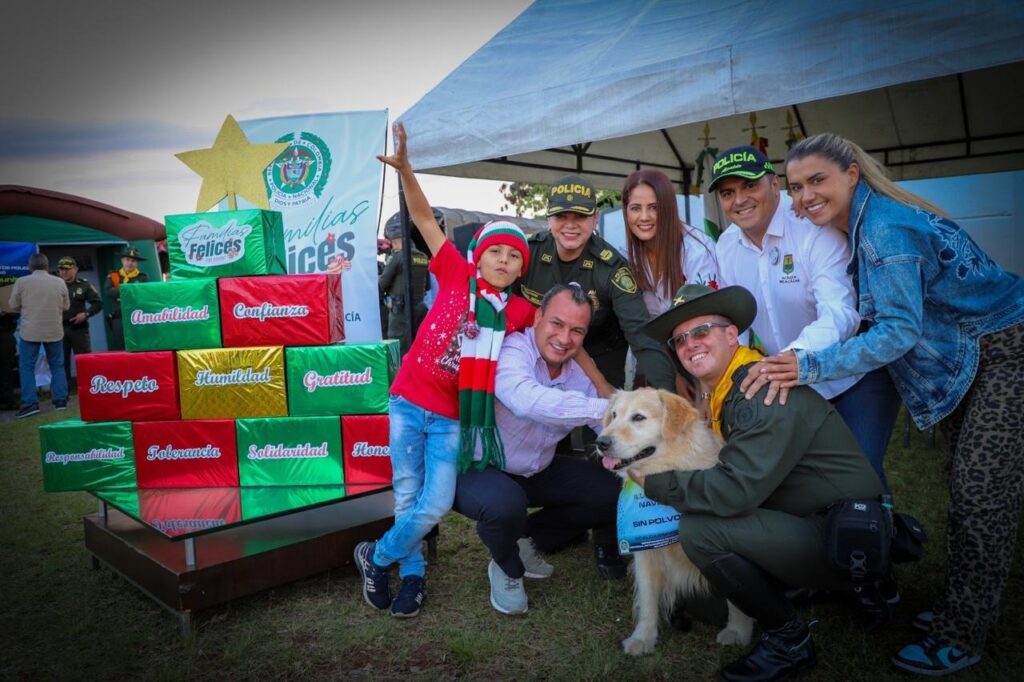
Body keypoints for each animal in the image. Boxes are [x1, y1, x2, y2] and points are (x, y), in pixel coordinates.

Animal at [598, 387, 757, 655]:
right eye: (614, 415)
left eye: (638, 417)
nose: (601, 442)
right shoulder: (646, 553)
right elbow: (648, 600)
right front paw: (643, 637)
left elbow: (738, 598)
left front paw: (738, 629)